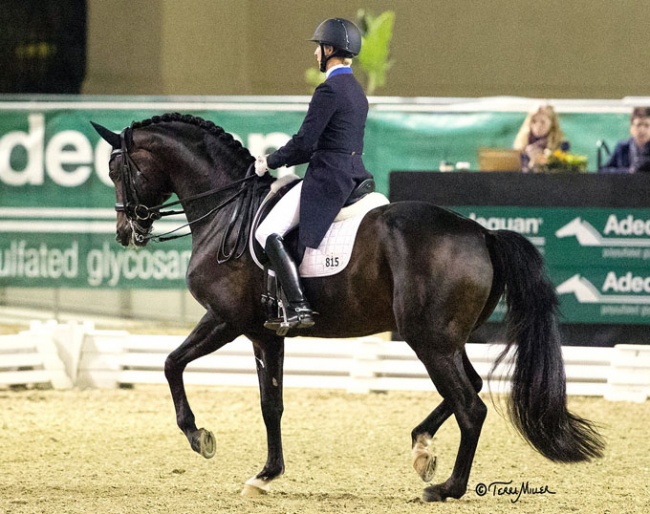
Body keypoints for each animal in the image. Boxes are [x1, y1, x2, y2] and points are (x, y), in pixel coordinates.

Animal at [91, 112, 604, 500]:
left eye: (118, 172)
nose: (125, 233)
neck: (227, 212)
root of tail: (482, 233)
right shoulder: (264, 332)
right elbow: (267, 401)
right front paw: (264, 474)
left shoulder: (230, 320)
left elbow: (175, 365)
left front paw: (205, 440)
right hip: (447, 338)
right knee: (470, 388)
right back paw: (422, 448)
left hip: (428, 339)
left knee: (471, 406)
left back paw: (446, 487)